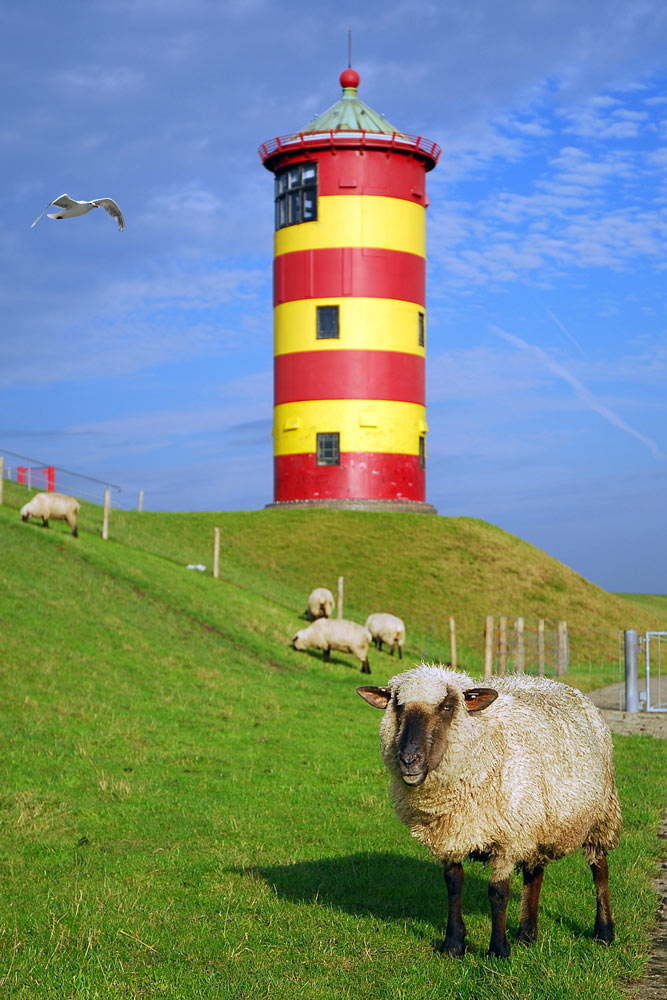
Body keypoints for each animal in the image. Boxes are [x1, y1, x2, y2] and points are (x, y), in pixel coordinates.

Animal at [358, 668, 624, 956]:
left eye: (447, 706)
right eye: (397, 705)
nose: (409, 760)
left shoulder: (508, 838)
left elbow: (498, 892)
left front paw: (498, 949)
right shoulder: (452, 835)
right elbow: (453, 884)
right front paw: (453, 944)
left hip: (600, 815)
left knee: (600, 870)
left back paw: (604, 931)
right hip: (536, 823)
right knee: (534, 873)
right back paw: (527, 934)